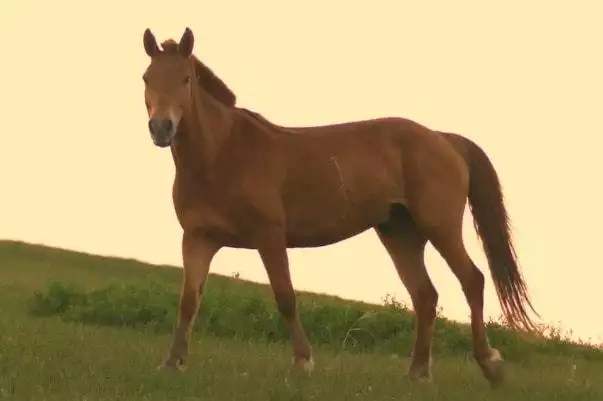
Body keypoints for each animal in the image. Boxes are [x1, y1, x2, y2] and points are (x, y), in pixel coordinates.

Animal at [140, 26, 536, 386]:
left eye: (186, 78)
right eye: (146, 78)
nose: (161, 128)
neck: (223, 153)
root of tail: (443, 139)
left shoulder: (270, 237)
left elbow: (285, 297)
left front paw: (303, 362)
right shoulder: (198, 239)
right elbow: (188, 301)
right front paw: (173, 363)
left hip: (440, 227)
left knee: (472, 280)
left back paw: (489, 364)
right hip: (400, 234)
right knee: (425, 295)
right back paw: (418, 372)